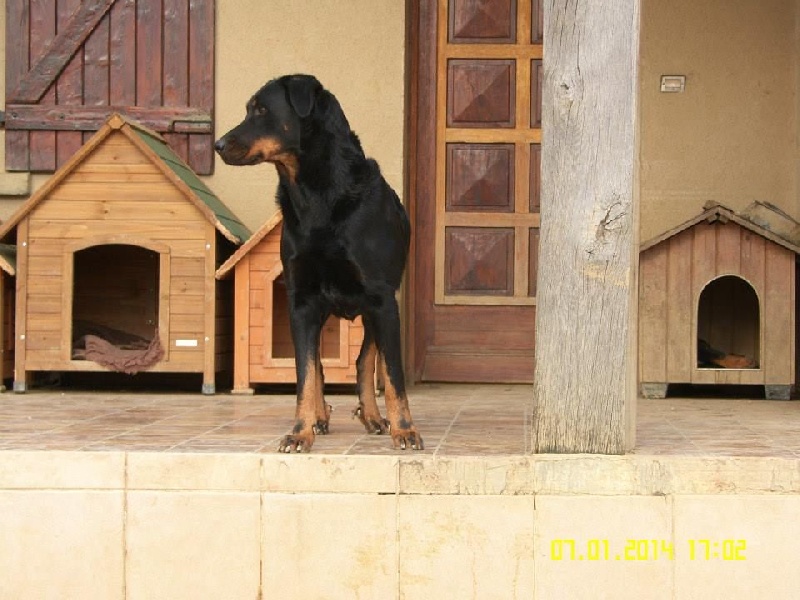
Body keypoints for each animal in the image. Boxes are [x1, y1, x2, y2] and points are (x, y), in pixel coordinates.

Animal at [212, 74, 424, 450]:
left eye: (261, 110)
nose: (218, 145)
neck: (318, 194)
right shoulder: (302, 300)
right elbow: (306, 374)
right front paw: (301, 430)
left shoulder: (383, 299)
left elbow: (393, 376)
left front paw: (404, 429)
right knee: (321, 367)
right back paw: (321, 416)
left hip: (376, 310)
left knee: (364, 359)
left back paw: (373, 417)